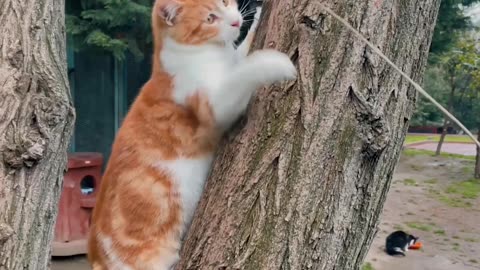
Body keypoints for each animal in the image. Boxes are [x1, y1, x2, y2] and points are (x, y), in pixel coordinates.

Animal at [87, 0, 294, 268]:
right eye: (210, 18)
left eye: (225, 3)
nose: (235, 21)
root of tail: (95, 255)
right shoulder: (215, 105)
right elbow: (244, 72)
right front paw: (275, 62)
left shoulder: (230, 59)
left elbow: (241, 53)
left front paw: (256, 18)